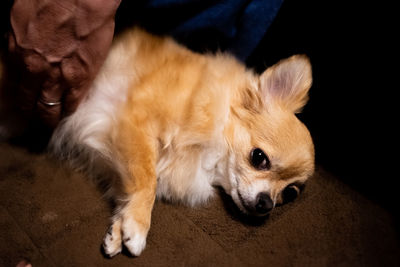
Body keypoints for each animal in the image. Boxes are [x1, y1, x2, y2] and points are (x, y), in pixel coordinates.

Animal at [0, 27, 314, 258]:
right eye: (259, 158)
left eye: (289, 194)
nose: (266, 205)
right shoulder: (132, 122)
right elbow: (147, 179)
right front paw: (138, 226)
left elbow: (130, 186)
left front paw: (119, 229)